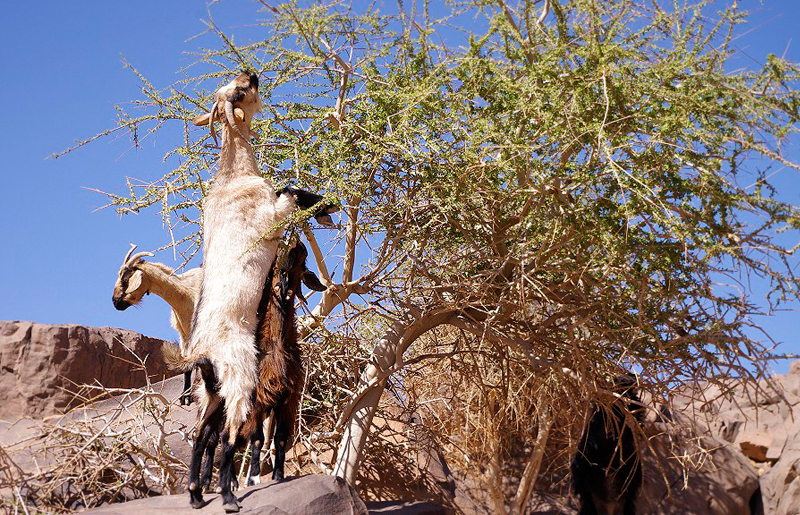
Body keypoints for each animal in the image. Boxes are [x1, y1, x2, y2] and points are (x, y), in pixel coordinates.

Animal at [112, 244, 201, 405]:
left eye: (125, 280)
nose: (115, 302)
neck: (185, 294)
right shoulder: (184, 334)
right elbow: (187, 364)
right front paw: (185, 396)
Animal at [185, 71, 332, 512]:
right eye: (238, 92)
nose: (251, 73)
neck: (234, 176)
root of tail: (203, 354)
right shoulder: (271, 213)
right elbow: (290, 190)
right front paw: (325, 204)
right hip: (240, 382)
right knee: (229, 437)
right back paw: (229, 496)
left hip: (212, 395)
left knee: (202, 435)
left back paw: (197, 494)